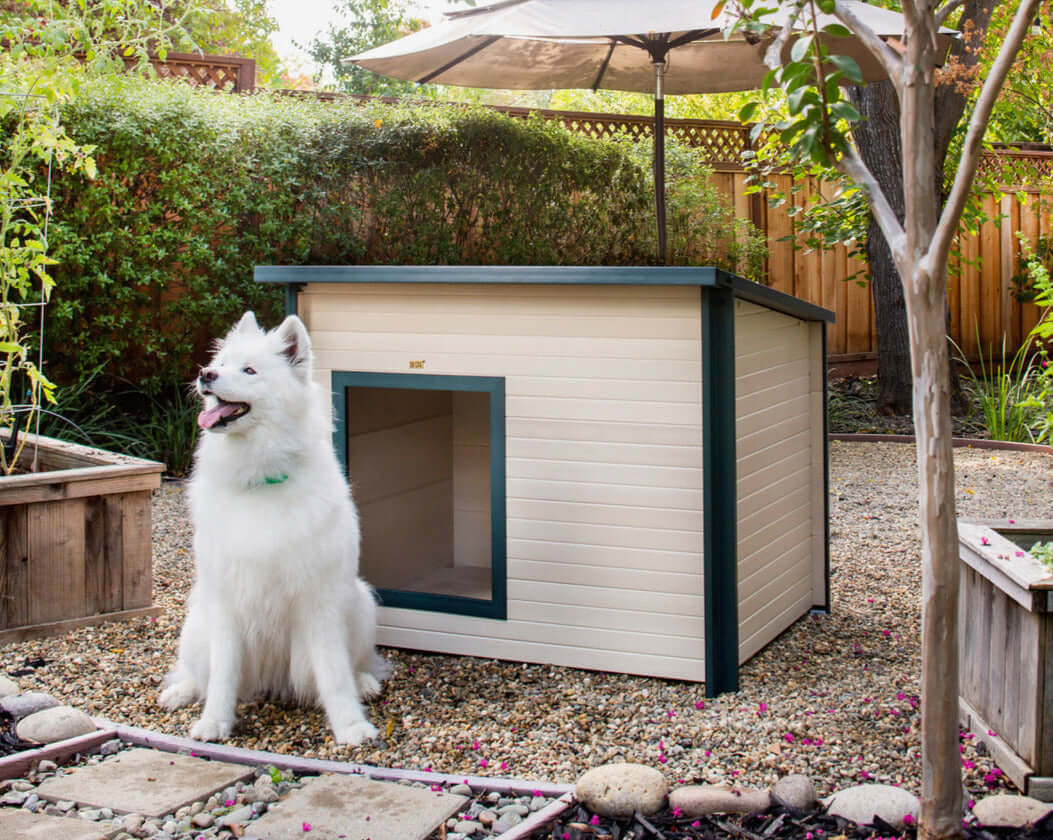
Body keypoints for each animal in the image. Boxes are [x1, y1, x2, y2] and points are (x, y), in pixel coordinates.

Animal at [160, 311, 383, 745]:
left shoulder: (319, 601)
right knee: (197, 673)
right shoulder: (227, 601)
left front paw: (351, 726)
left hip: (361, 604)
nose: (206, 374)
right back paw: (180, 692)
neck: (260, 478)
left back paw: (365, 682)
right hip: (196, 624)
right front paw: (214, 723)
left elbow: (334, 673)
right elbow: (223, 675)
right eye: (222, 363)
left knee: (356, 662)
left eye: (250, 370)